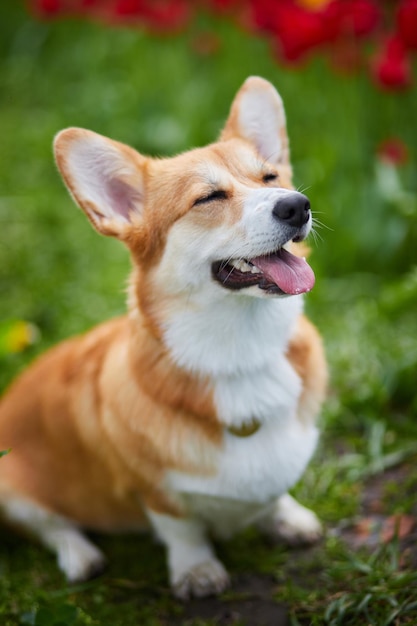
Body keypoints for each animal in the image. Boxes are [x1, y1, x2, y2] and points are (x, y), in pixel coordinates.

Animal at [0, 77, 324, 596]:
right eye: (208, 198)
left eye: (271, 177)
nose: (297, 205)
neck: (240, 352)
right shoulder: (154, 490)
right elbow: (182, 527)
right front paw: (197, 571)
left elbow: (273, 492)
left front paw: (286, 518)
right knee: (49, 525)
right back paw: (80, 555)